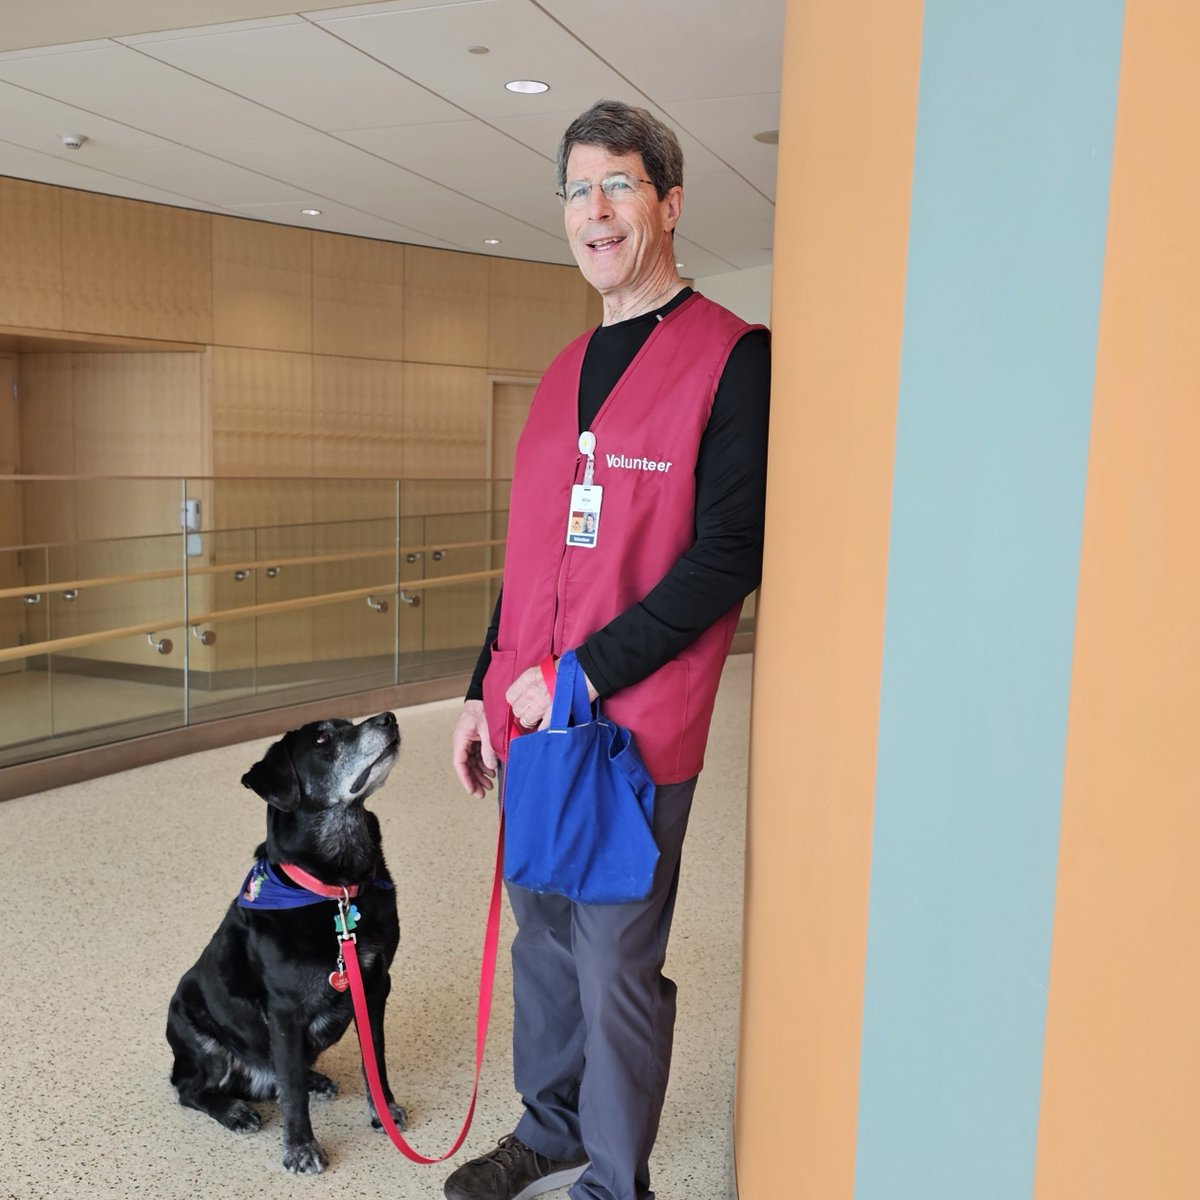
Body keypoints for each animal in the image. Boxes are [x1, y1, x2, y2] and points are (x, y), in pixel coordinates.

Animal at [165, 710, 408, 1171]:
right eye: (323, 739)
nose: (389, 718)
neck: (336, 889)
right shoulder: (284, 1011)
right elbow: (292, 1092)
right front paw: (300, 1146)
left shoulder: (376, 987)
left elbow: (377, 1058)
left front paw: (383, 1110)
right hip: (194, 1027)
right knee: (192, 1090)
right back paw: (234, 1109)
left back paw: (312, 1079)